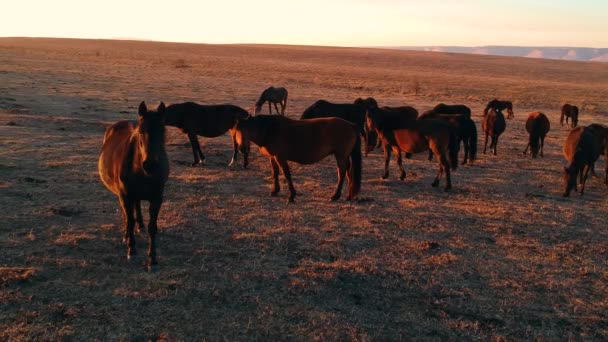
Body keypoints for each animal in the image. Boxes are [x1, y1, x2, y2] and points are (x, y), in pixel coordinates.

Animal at [98, 100, 169, 272]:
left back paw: (140, 225)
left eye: (163, 131)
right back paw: (127, 235)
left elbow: (152, 227)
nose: (150, 165)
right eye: (141, 132)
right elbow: (129, 220)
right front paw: (131, 249)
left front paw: (152, 260)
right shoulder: (125, 195)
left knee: (136, 206)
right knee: (127, 214)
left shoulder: (157, 198)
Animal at [230, 115, 358, 202]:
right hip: (343, 156)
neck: (271, 130)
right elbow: (275, 173)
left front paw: (291, 196)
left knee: (342, 173)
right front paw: (275, 191)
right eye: (236, 131)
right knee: (348, 172)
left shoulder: (280, 158)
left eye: (247, 129)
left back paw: (336, 196)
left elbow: (287, 175)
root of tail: (352, 125)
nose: (242, 148)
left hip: (340, 155)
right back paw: (349, 196)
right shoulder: (273, 158)